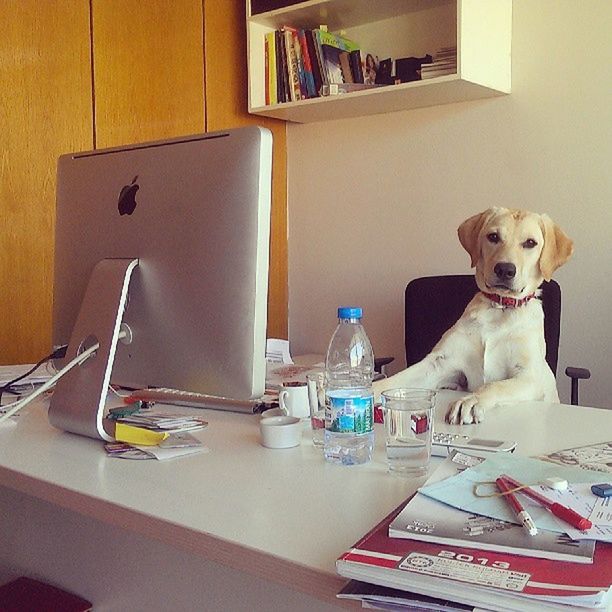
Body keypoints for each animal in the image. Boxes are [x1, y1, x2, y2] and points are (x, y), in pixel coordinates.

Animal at [372, 208, 572, 424]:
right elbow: (395, 380)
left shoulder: (529, 377)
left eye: (530, 243)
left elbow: (495, 385)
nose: (505, 269)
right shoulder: (439, 363)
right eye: (493, 237)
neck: (500, 308)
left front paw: (471, 400)